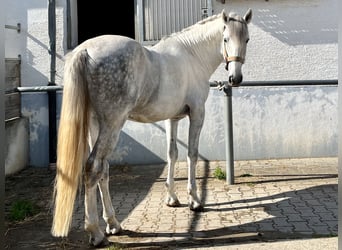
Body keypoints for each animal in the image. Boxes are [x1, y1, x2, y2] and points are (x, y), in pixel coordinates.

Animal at [52, 8, 252, 245]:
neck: (192, 55)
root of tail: (85, 50)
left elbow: (172, 154)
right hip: (112, 124)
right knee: (93, 168)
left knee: (103, 170)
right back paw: (96, 233)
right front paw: (194, 200)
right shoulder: (197, 113)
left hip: (95, 124)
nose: (235, 78)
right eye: (225, 38)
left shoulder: (172, 118)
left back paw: (113, 224)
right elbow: (192, 155)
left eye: (247, 39)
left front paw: (172, 198)